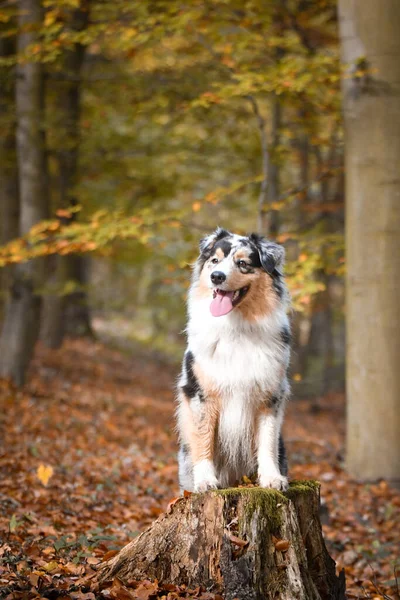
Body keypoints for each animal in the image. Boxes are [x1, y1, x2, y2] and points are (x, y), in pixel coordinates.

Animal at [177, 229, 292, 492]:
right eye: (215, 260)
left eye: (242, 263)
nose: (216, 277)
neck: (237, 327)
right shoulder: (201, 393)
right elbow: (204, 438)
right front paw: (205, 480)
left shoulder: (271, 395)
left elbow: (267, 441)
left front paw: (271, 478)